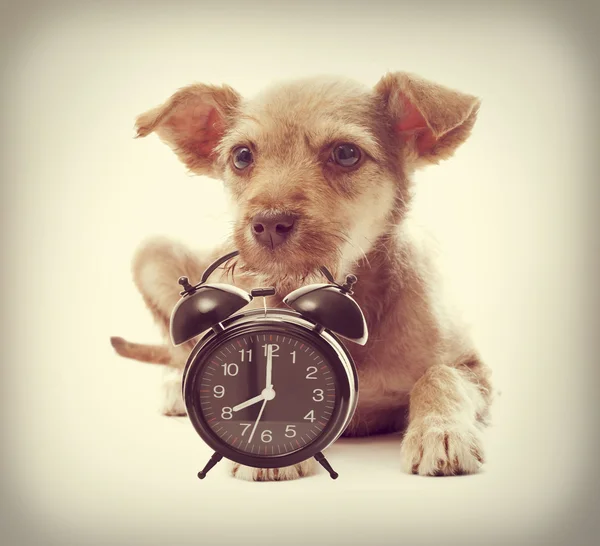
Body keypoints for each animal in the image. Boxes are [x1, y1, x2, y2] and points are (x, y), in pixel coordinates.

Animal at [111, 72, 492, 480]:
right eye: (242, 156)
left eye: (346, 153)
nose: (268, 224)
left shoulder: (474, 367)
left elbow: (440, 377)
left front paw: (441, 432)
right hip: (152, 252)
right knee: (178, 350)